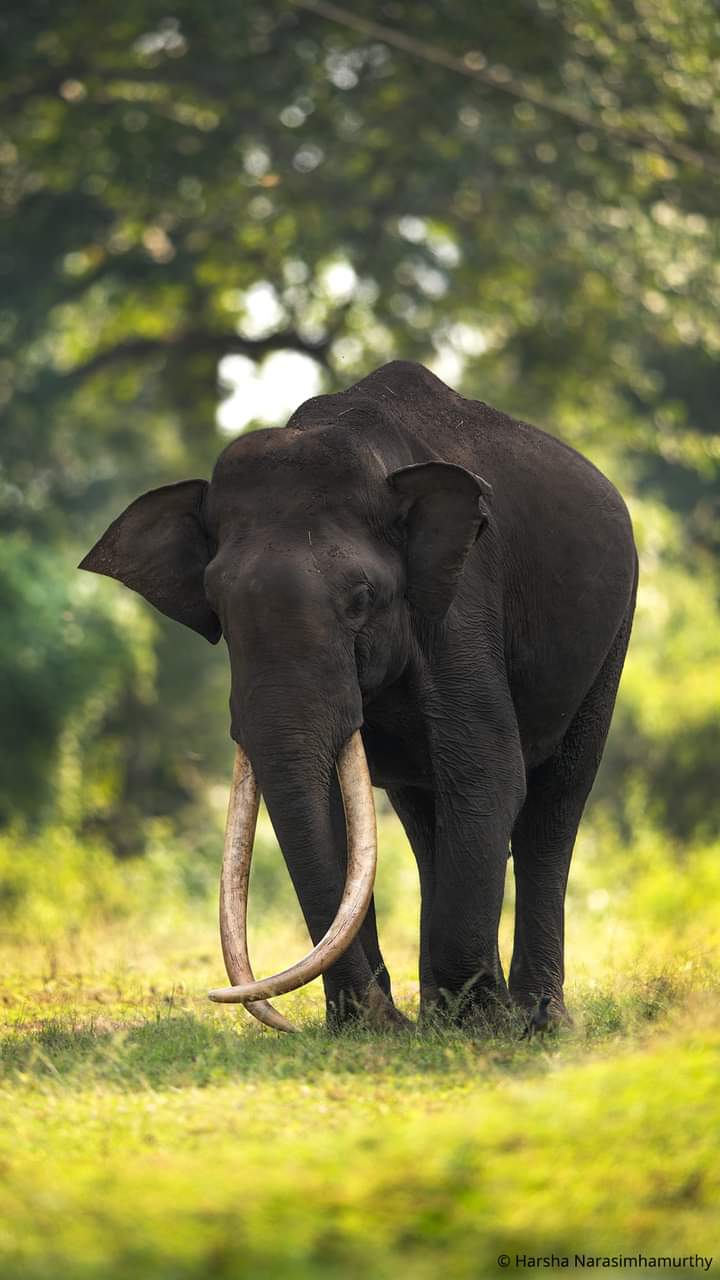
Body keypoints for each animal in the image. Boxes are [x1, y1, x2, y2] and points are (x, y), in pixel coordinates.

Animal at [81, 360, 637, 1032]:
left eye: (361, 599)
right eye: (217, 606)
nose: (376, 1018)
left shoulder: (460, 604)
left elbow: (486, 773)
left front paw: (479, 1027)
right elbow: (333, 803)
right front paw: (376, 1027)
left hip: (612, 635)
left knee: (555, 803)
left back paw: (535, 1021)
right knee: (425, 816)